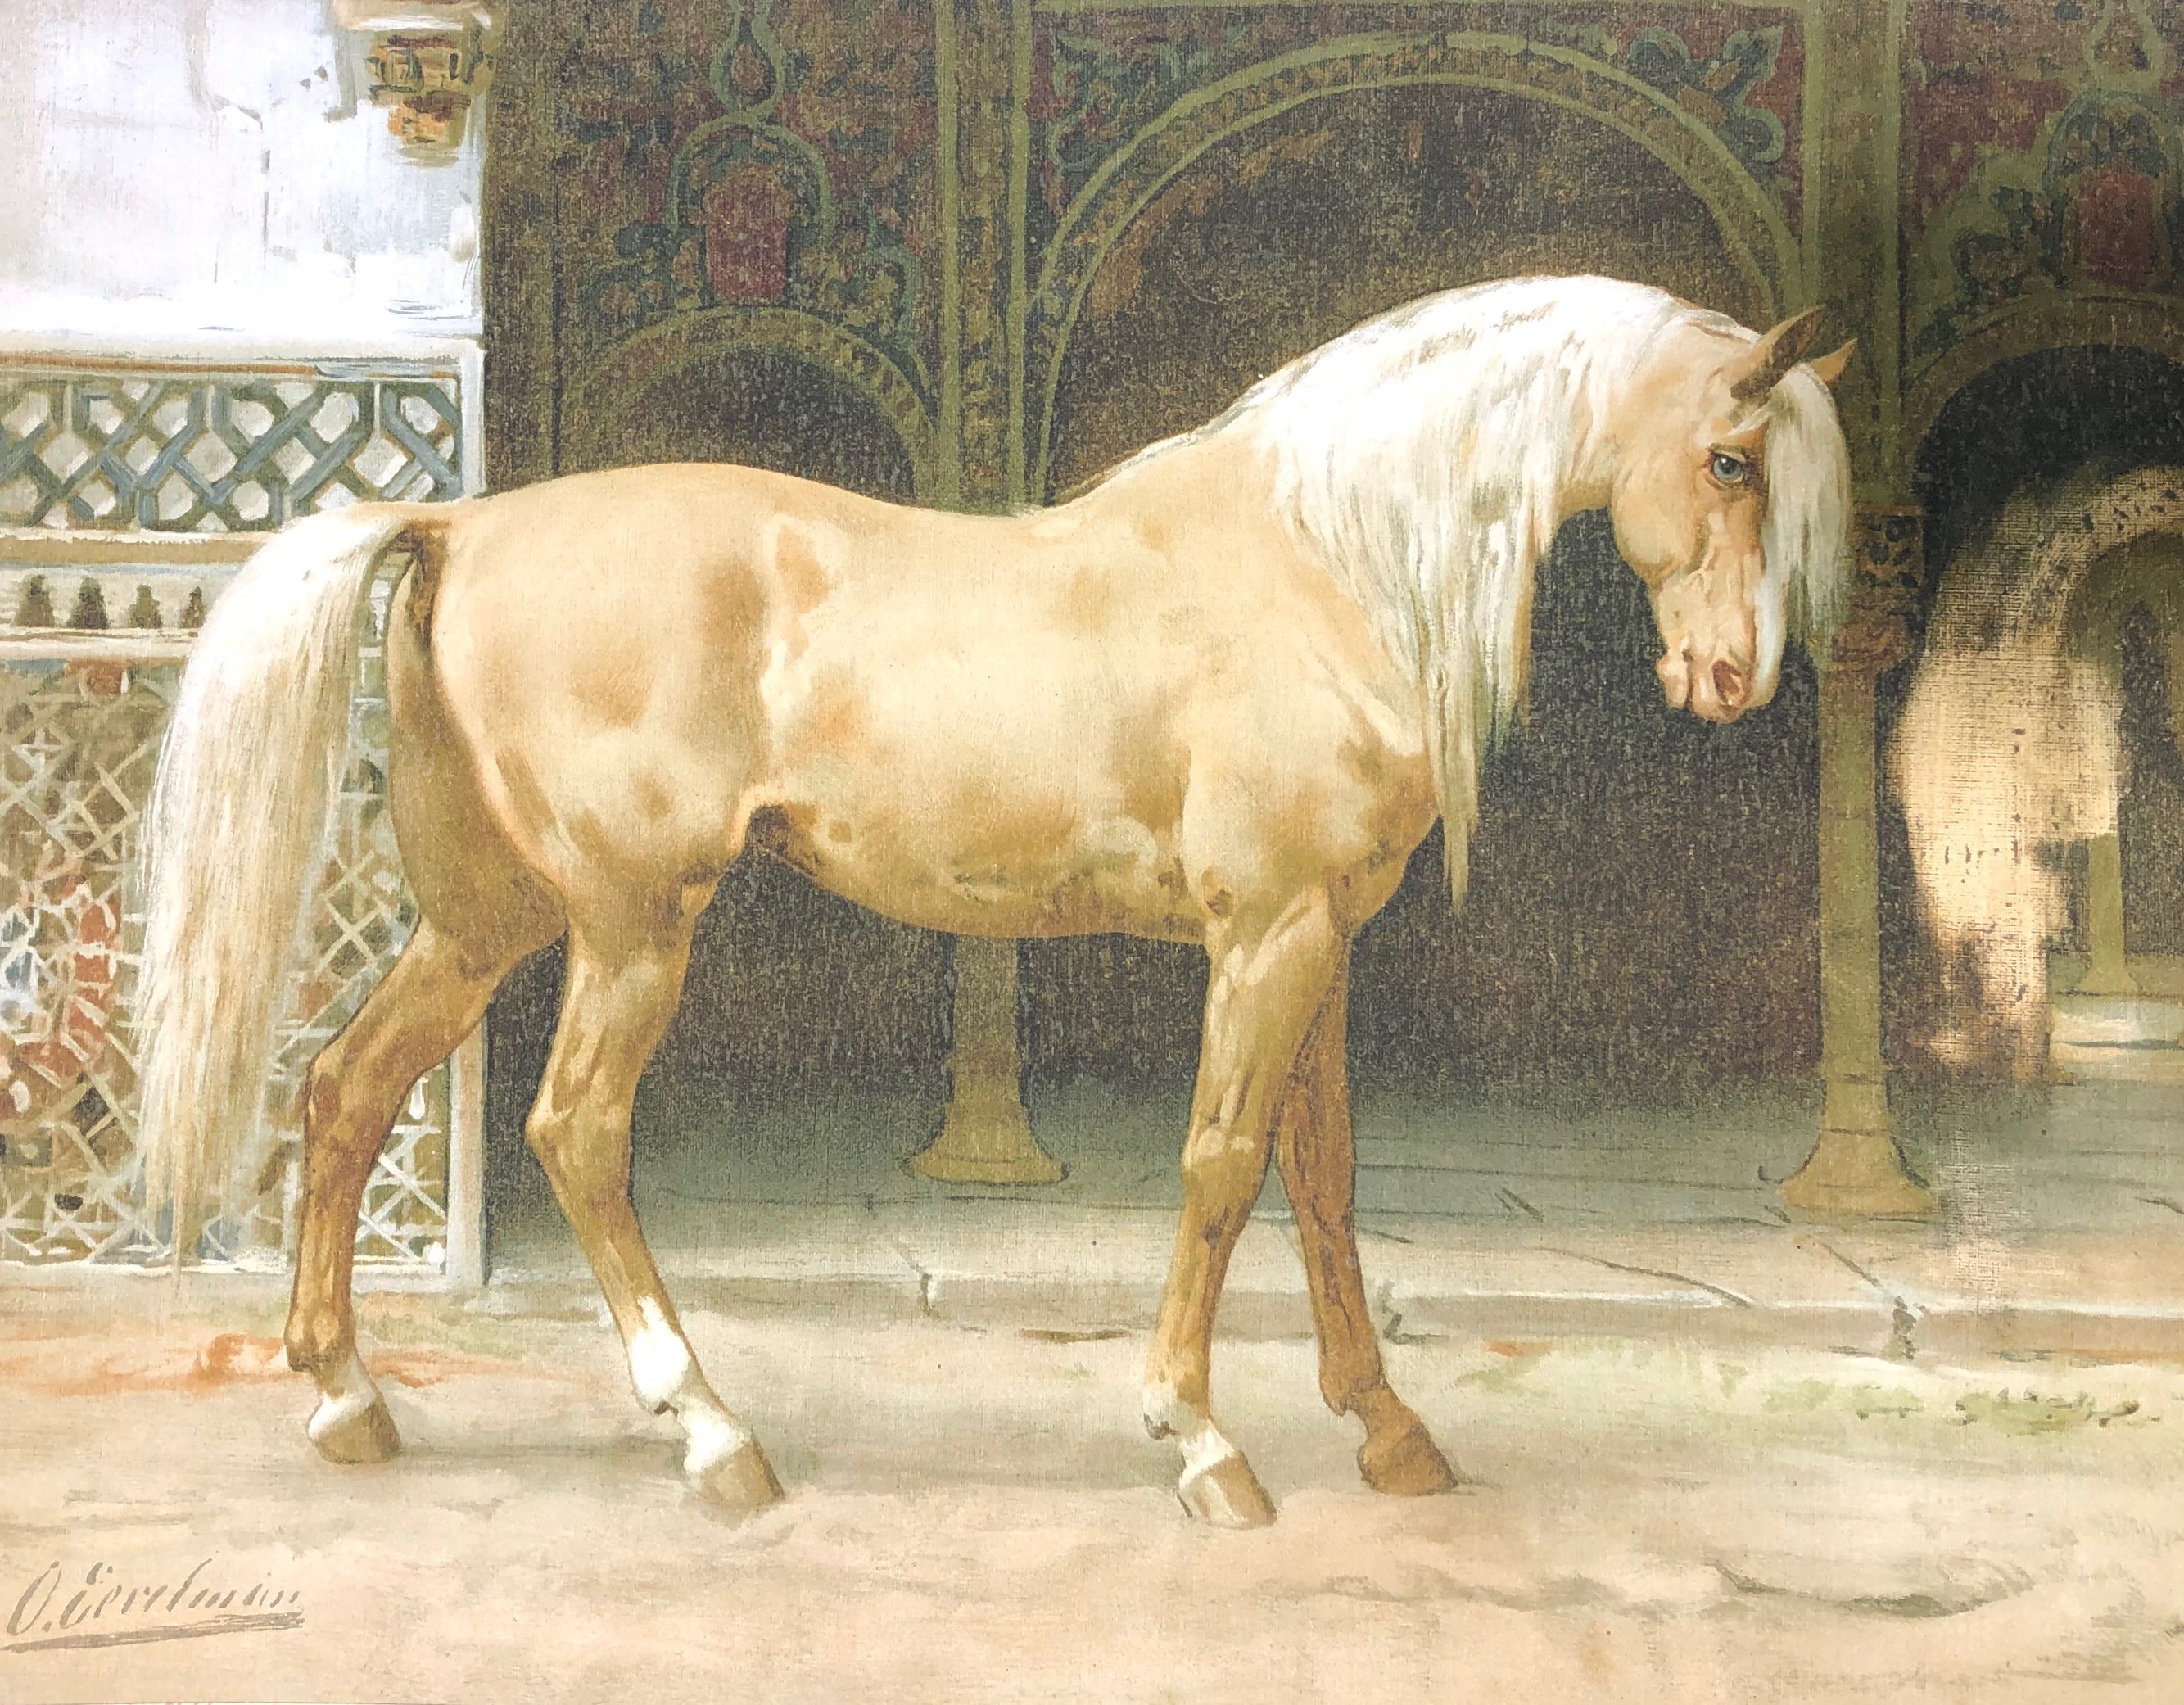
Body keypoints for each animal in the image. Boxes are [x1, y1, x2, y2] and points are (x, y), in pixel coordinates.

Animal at [137, 274, 1854, 1527]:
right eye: (1727, 458)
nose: (1732, 678)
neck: (1318, 563)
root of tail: (461, 520)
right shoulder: (1266, 937)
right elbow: (1223, 1169)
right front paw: (1199, 1442)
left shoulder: (1323, 944)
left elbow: (1326, 1181)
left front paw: (1389, 1431)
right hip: (630, 925)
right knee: (574, 1133)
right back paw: (711, 1434)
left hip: (487, 921)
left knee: (345, 1090)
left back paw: (349, 1400)